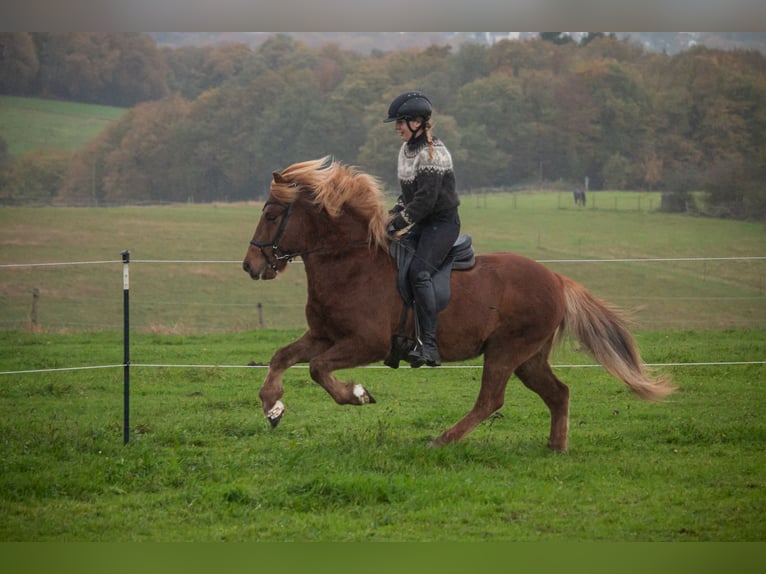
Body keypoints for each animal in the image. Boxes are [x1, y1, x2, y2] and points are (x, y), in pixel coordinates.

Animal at [242, 157, 673, 451]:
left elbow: (318, 369)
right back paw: (555, 447)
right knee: (558, 392)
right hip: (529, 357)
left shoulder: (367, 343)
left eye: (271, 214)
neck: (350, 262)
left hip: (506, 350)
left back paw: (442, 440)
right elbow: (282, 357)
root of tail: (556, 279)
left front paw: (357, 394)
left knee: (491, 399)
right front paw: (272, 407)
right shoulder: (323, 335)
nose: (250, 266)